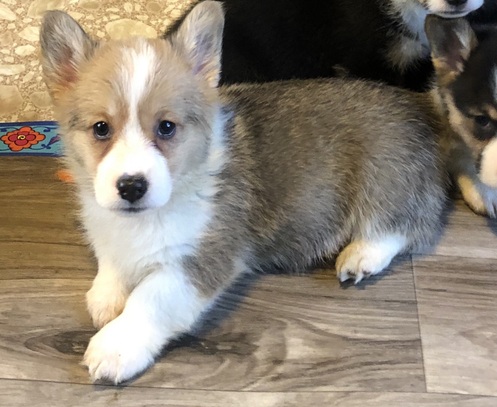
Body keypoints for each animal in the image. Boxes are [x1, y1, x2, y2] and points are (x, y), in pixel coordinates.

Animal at [39, 0, 446, 386]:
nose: (131, 186)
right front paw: (106, 297)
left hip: (384, 172)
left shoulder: (204, 258)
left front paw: (116, 346)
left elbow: (151, 298)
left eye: (167, 127)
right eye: (101, 128)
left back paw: (361, 255)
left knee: (402, 222)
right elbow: (112, 260)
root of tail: (419, 107)